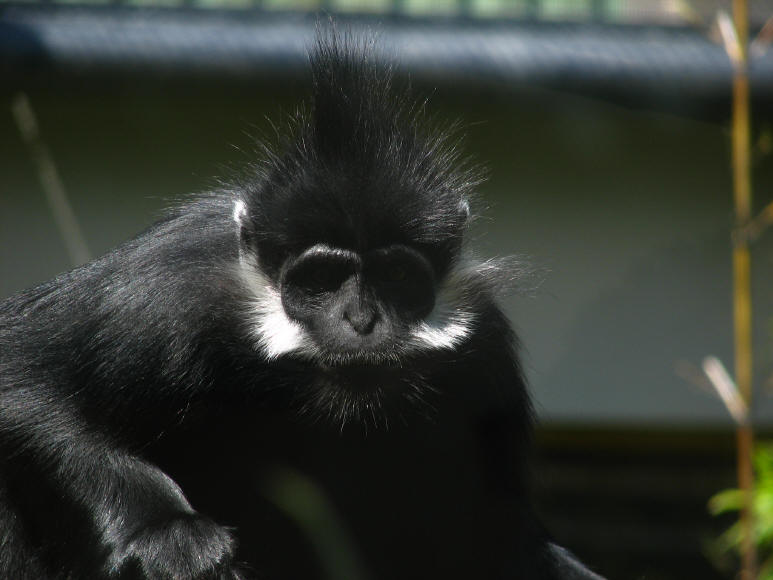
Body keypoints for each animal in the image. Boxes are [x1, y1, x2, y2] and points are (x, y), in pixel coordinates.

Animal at [0, 29, 605, 580]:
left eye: (397, 278)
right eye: (320, 279)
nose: (362, 320)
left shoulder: (485, 352)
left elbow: (499, 539)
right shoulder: (163, 296)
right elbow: (24, 378)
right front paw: (167, 531)